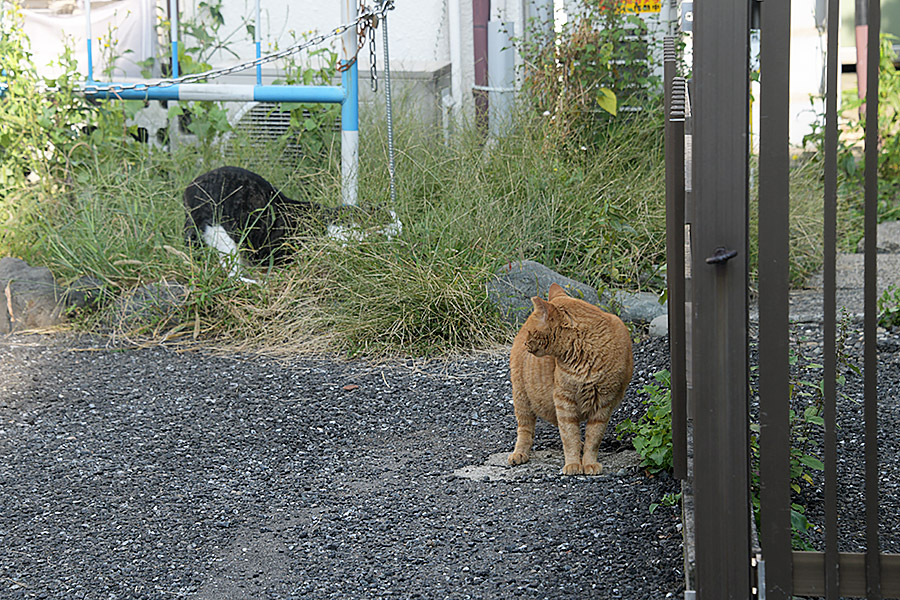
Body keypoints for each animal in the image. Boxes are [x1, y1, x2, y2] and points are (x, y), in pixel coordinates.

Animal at [506, 284, 632, 476]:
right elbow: (569, 435)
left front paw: (588, 463)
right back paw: (519, 453)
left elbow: (593, 438)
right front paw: (573, 464)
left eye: (530, 332)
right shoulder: (564, 399)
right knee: (525, 430)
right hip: (521, 397)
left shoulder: (604, 403)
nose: (526, 344)